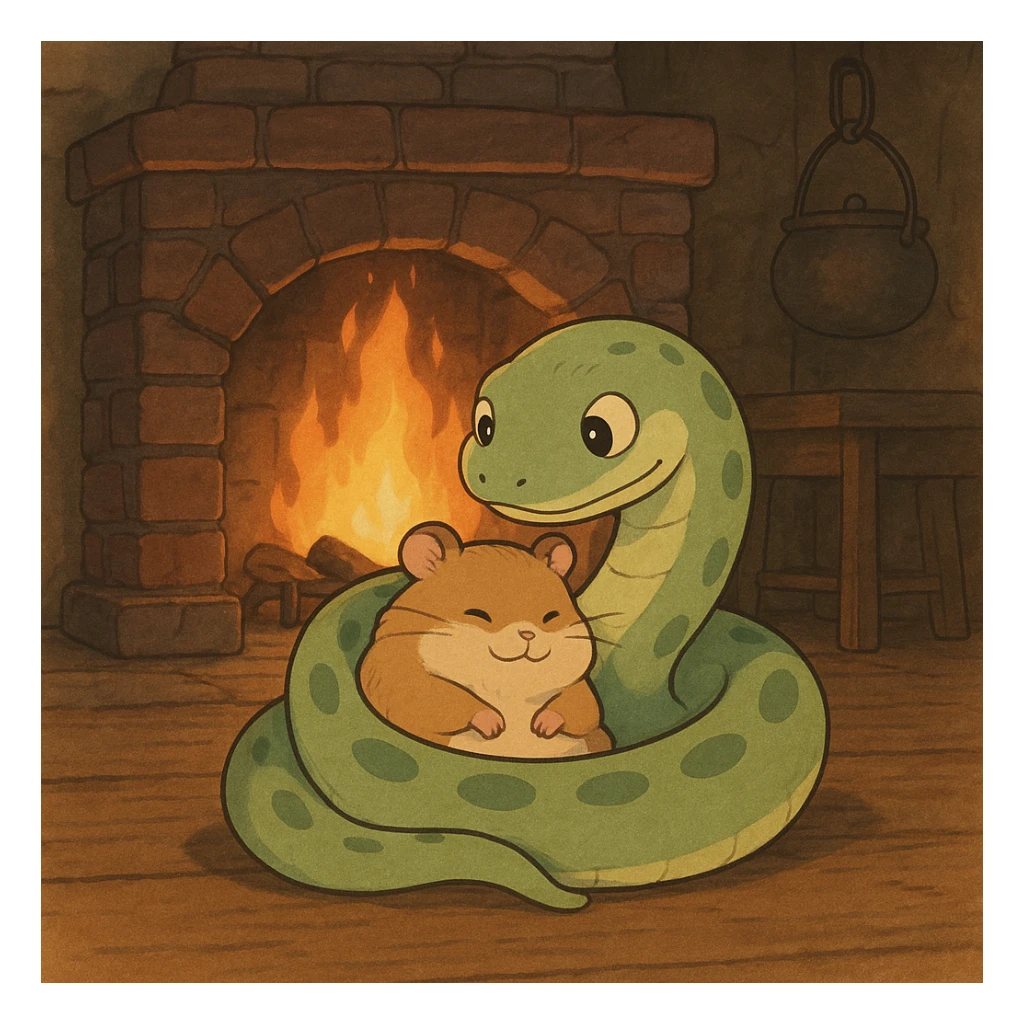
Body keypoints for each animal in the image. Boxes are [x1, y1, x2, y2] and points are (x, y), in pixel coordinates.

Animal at [358, 521, 613, 759]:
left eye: (551, 616)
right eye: (478, 614)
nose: (528, 634)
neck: (509, 687)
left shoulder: (578, 687)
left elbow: (584, 707)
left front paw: (542, 724)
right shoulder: (397, 674)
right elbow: (428, 697)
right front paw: (493, 724)